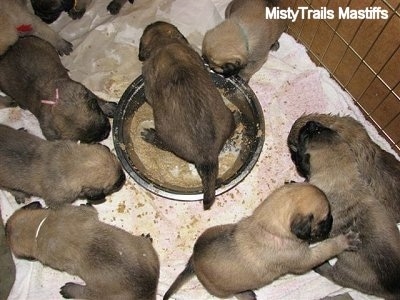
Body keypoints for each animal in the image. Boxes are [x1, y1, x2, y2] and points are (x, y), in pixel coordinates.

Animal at [5, 202, 159, 300]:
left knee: (84, 294)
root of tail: (149, 290)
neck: (39, 228)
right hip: (147, 252)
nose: (5, 229)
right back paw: (146, 238)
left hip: (97, 293)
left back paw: (69, 290)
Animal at [138, 21, 236, 210]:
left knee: (164, 143)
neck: (165, 43)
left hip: (165, 132)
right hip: (226, 116)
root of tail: (207, 156)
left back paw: (151, 136)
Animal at [162, 183, 360, 300]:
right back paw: (247, 294)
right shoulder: (304, 260)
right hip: (225, 290)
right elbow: (327, 248)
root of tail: (193, 261)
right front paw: (344, 241)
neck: (267, 226)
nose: (332, 221)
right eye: (325, 220)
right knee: (236, 294)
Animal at [290, 120, 400, 300]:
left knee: (333, 275)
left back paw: (322, 266)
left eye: (306, 136)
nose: (311, 122)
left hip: (344, 272)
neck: (340, 175)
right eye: (321, 128)